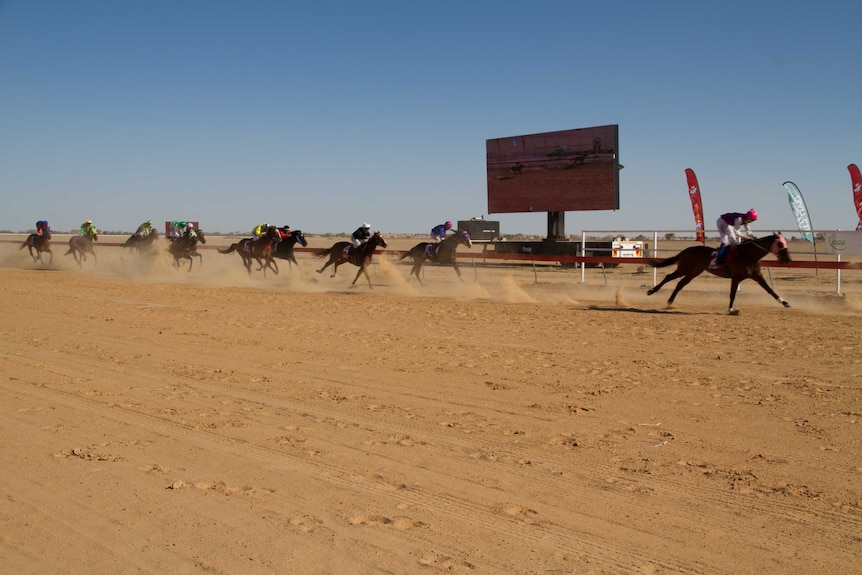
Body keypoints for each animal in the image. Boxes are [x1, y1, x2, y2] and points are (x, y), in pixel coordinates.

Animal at [648, 233, 796, 316]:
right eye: (780, 244)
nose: (788, 260)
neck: (748, 255)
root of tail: (685, 250)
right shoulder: (736, 277)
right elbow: (732, 294)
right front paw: (731, 309)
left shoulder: (757, 276)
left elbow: (770, 290)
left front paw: (785, 303)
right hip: (685, 268)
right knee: (669, 277)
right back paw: (651, 291)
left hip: (694, 271)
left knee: (680, 283)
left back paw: (670, 301)